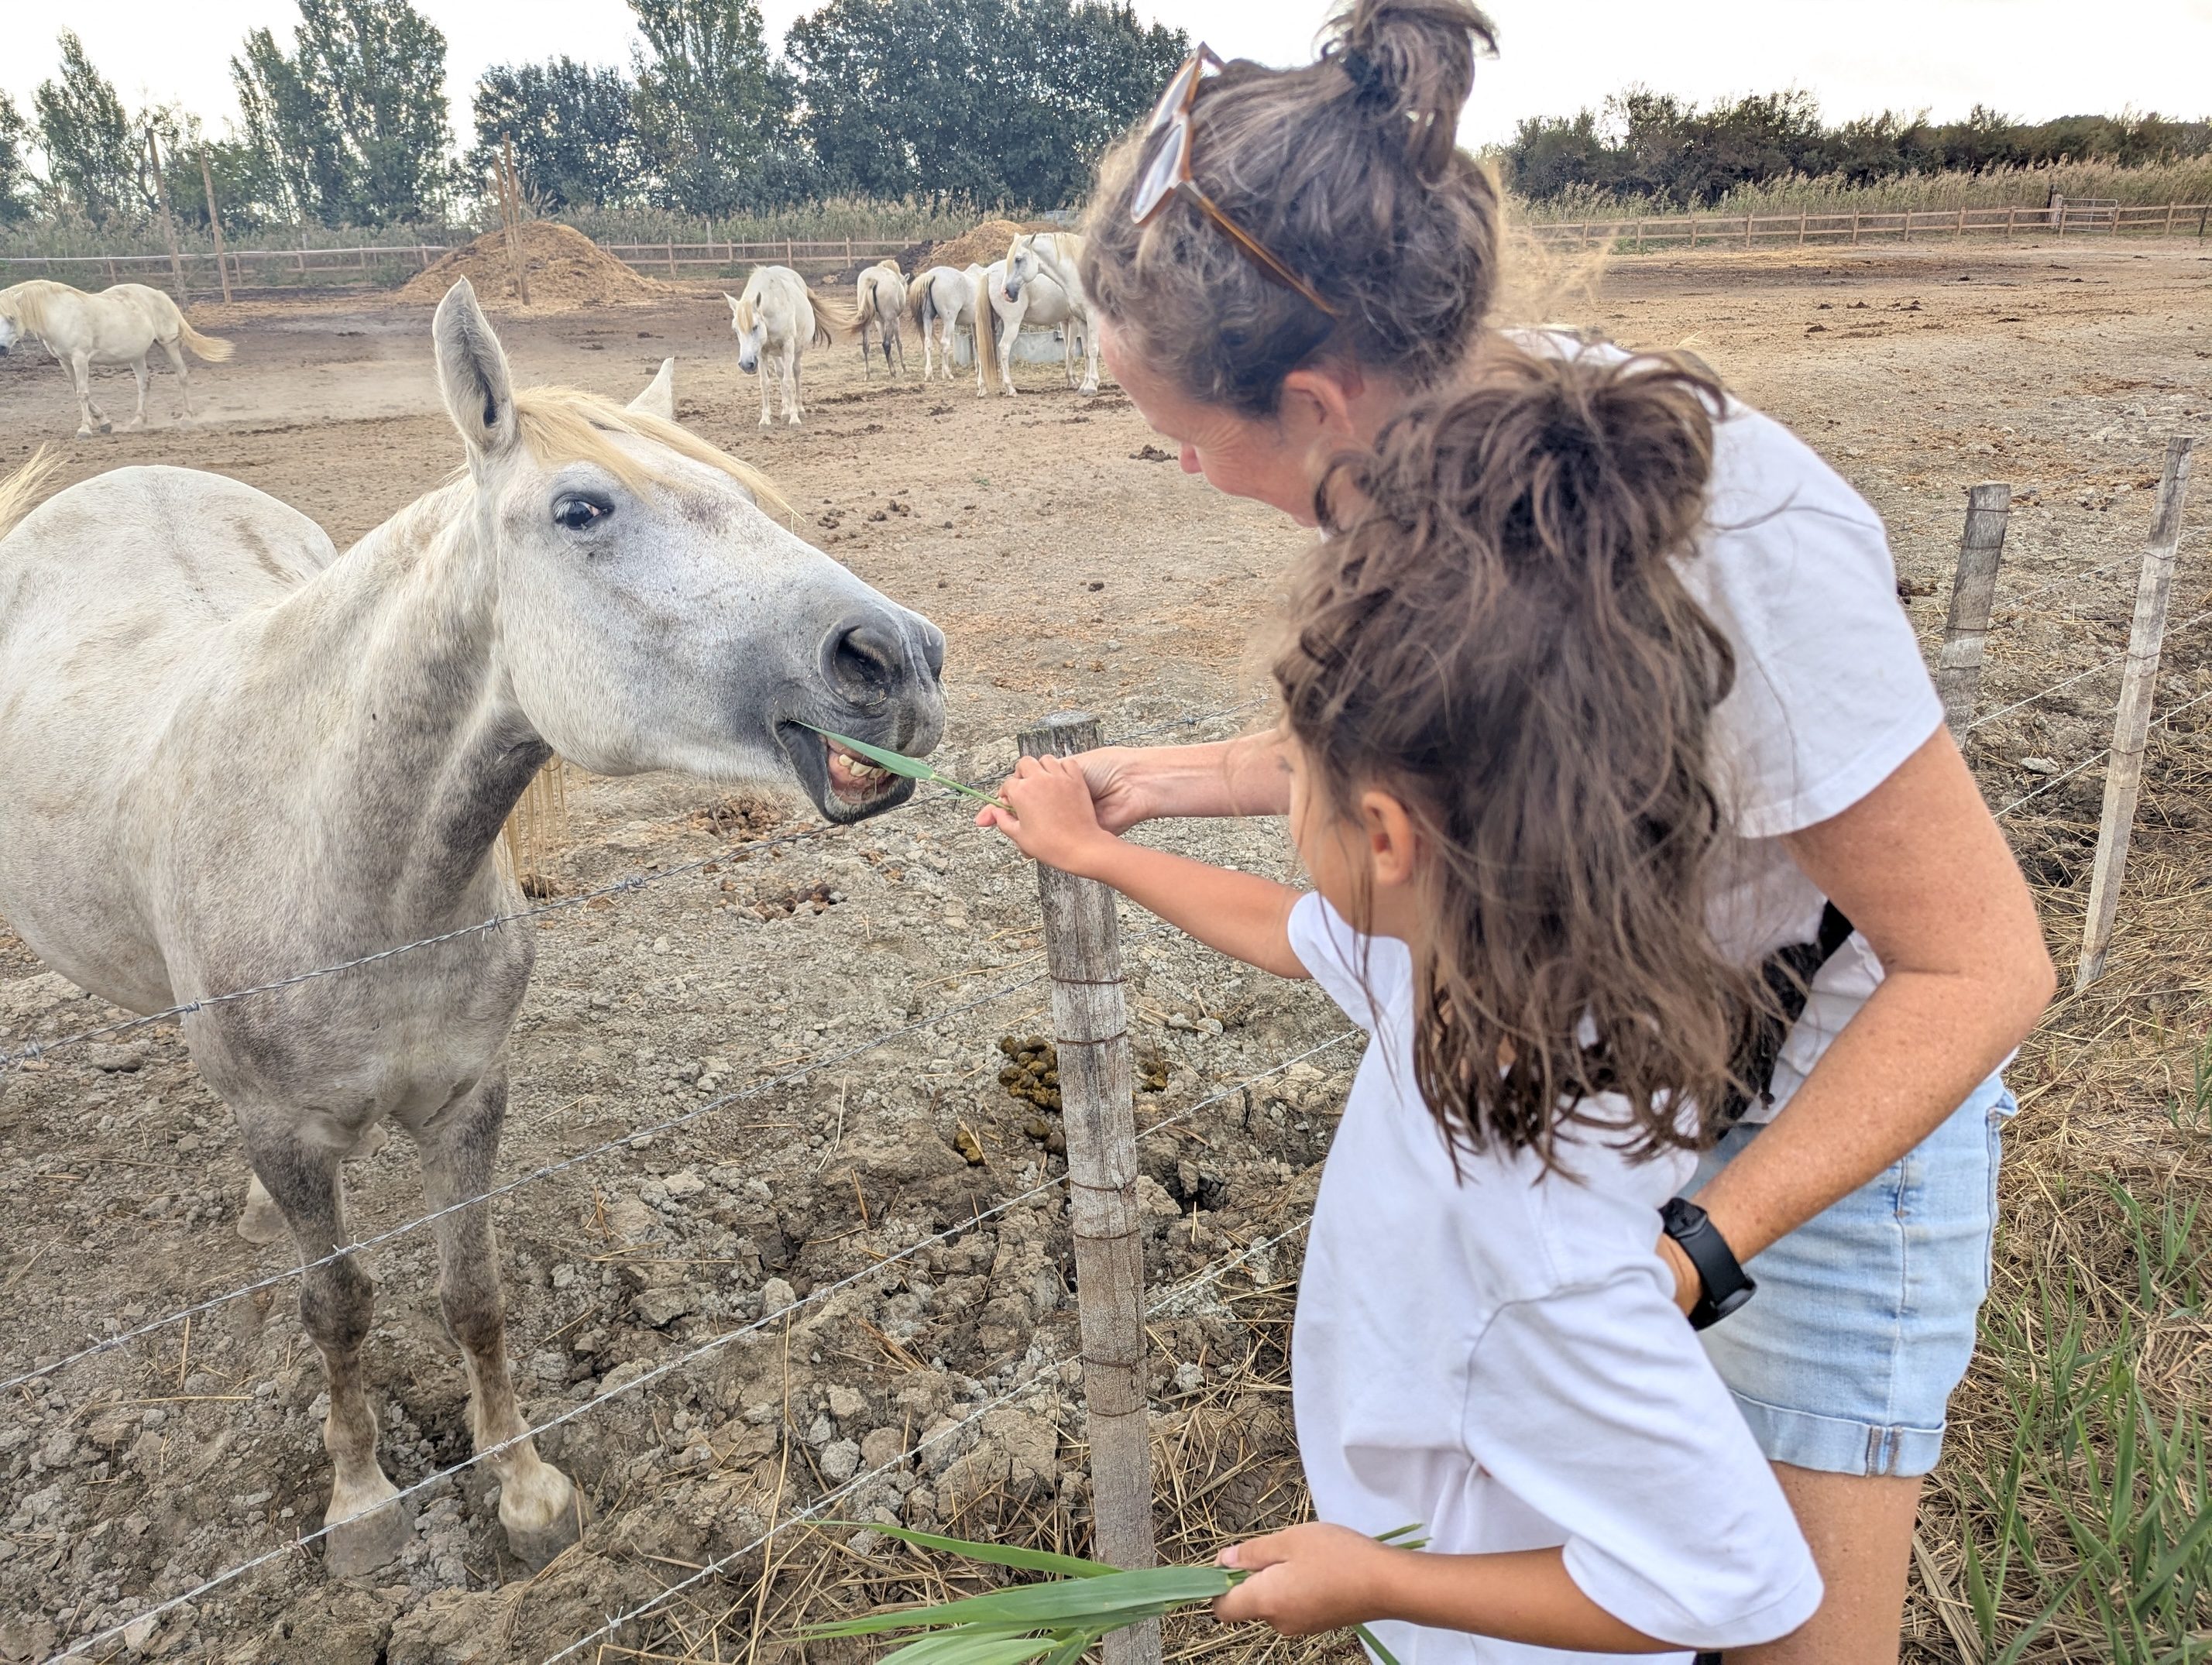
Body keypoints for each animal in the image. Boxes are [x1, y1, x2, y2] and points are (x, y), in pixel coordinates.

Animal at [0, 279, 234, 439]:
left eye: (11, 318)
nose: (1, 349)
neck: (60, 314)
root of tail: (159, 294)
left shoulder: (80, 358)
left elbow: (83, 393)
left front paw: (85, 429)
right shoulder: (64, 361)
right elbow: (78, 391)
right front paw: (104, 423)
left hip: (169, 344)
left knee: (182, 376)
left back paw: (186, 418)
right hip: (136, 355)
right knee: (144, 383)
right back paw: (138, 421)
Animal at [725, 267, 864, 426]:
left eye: (755, 327)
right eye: (735, 329)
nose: (745, 364)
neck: (773, 308)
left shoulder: (788, 346)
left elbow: (789, 381)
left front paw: (794, 418)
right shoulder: (762, 352)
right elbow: (765, 383)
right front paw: (765, 420)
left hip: (797, 350)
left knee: (796, 372)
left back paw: (799, 409)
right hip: (775, 353)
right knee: (780, 373)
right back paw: (785, 411)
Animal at [856, 259, 908, 379]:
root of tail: (873, 279)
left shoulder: (879, 322)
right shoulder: (895, 320)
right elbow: (898, 343)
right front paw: (903, 368)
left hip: (867, 322)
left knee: (865, 345)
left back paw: (868, 374)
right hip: (890, 320)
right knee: (886, 344)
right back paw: (893, 373)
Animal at [994, 232, 1101, 397]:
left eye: (1018, 259)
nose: (1006, 292)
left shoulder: (1091, 317)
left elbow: (1092, 349)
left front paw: (1091, 386)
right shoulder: (1081, 319)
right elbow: (1086, 351)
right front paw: (1084, 385)